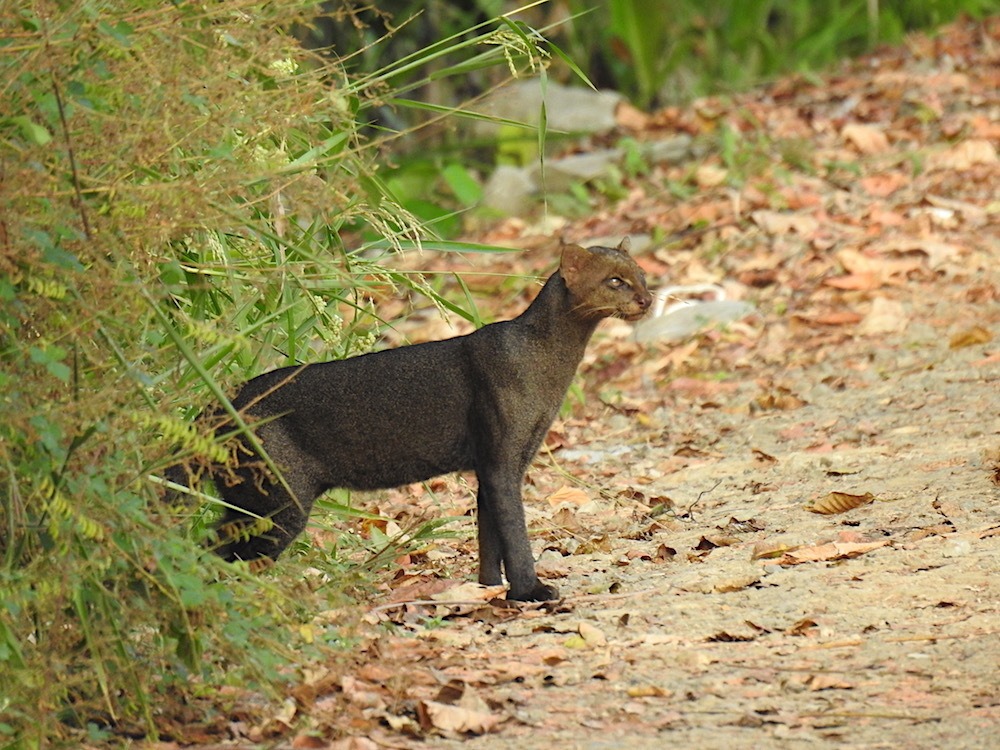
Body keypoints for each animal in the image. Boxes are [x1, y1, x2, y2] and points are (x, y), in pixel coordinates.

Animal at [174, 241, 648, 604]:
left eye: (641, 275)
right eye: (615, 281)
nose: (647, 298)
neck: (551, 353)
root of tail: (219, 406)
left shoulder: (494, 464)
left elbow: (489, 534)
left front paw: (487, 590)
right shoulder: (502, 460)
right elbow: (514, 531)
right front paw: (530, 592)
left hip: (250, 500)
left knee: (208, 548)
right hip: (278, 501)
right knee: (221, 554)